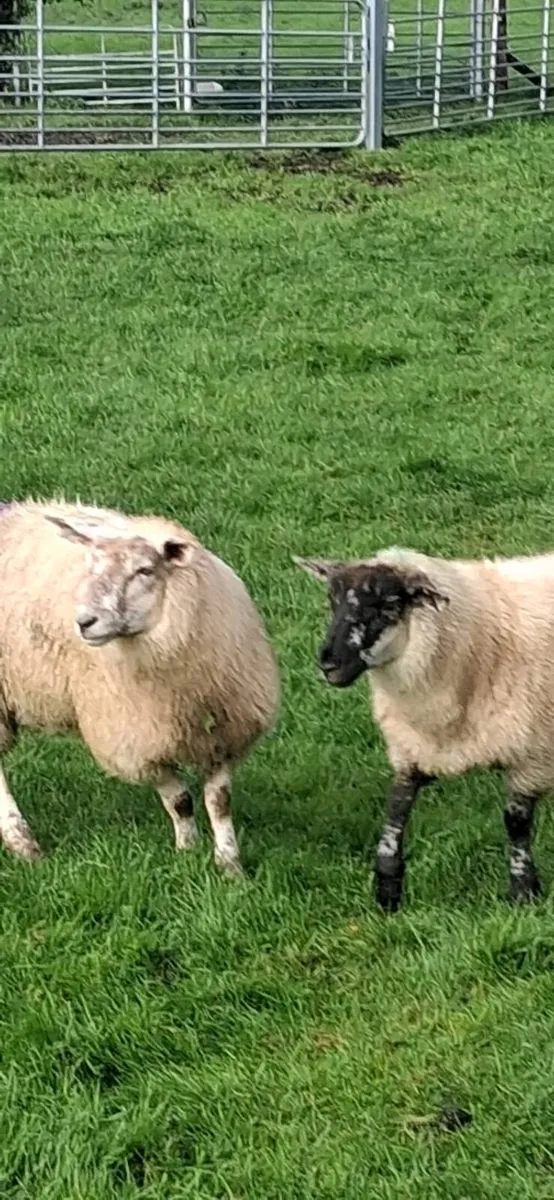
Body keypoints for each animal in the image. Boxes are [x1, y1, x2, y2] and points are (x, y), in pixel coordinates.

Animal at [0, 500, 279, 875]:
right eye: (90, 568)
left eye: (144, 570)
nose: (84, 622)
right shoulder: (138, 736)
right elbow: (179, 799)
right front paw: (187, 850)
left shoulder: (227, 731)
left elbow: (219, 801)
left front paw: (229, 865)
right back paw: (22, 841)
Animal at [295, 545, 554, 910]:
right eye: (332, 601)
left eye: (390, 604)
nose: (329, 663)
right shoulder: (414, 748)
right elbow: (395, 813)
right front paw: (388, 890)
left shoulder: (532, 756)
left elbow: (516, 824)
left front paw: (523, 892)